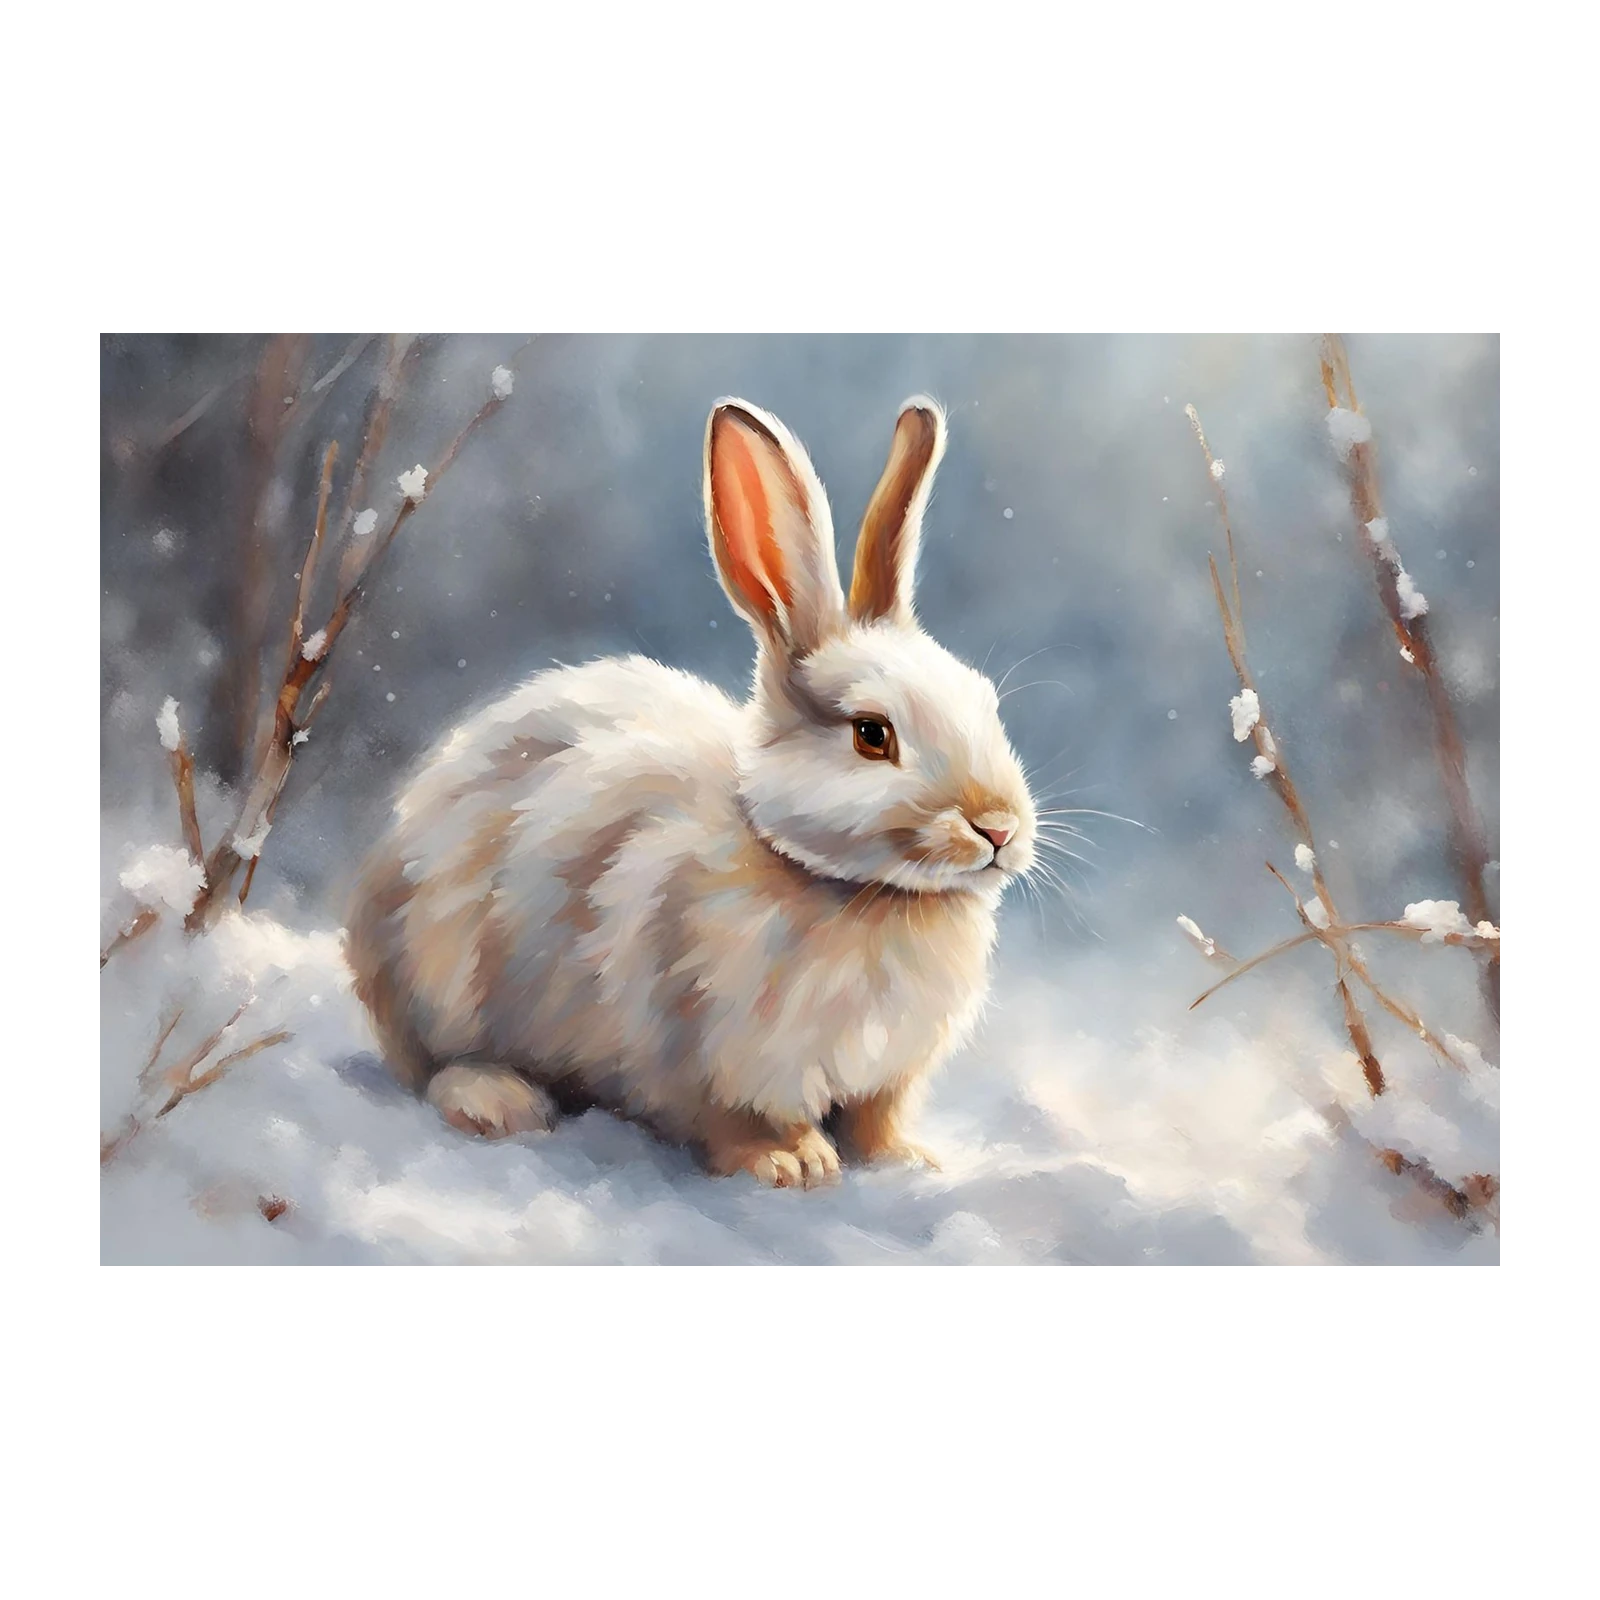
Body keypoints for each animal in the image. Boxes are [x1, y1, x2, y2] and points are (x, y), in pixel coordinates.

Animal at [345, 395, 1038, 1187]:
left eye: (986, 703)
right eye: (872, 734)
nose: (998, 828)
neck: (859, 891)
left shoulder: (888, 1075)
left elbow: (876, 1118)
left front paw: (906, 1161)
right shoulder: (706, 1057)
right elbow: (734, 1122)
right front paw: (791, 1164)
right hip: (439, 978)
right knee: (430, 1069)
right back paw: (499, 1101)